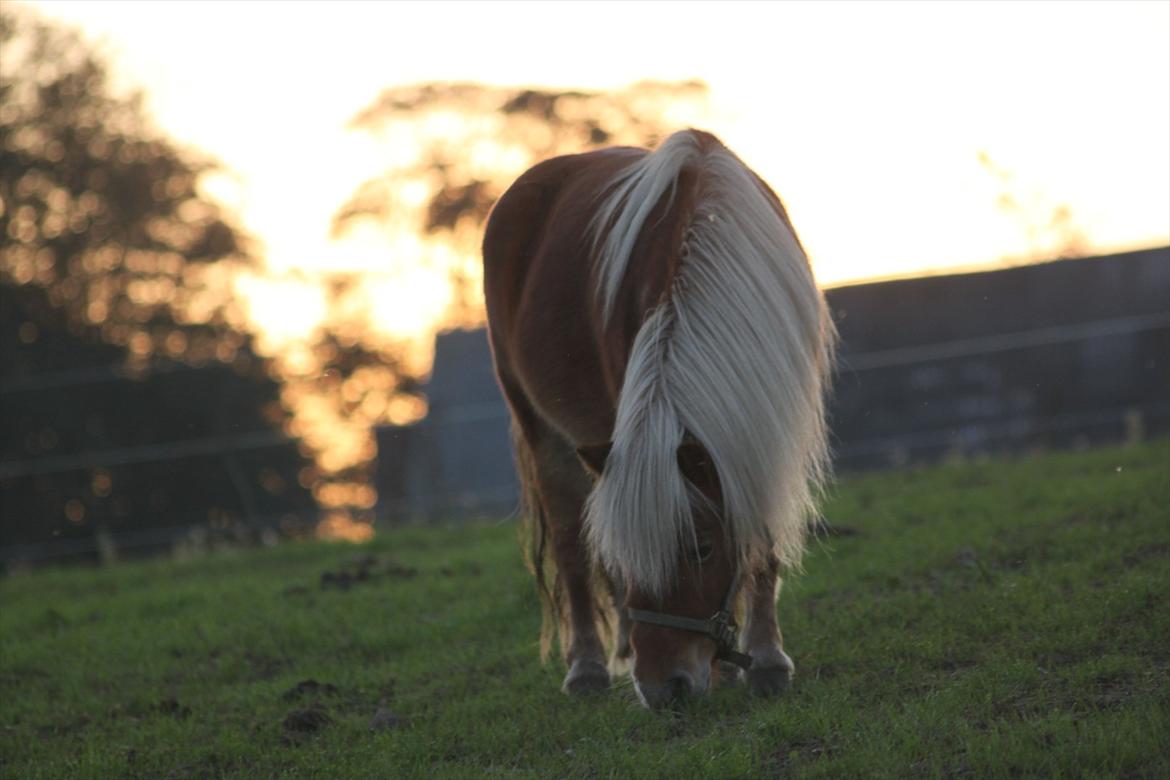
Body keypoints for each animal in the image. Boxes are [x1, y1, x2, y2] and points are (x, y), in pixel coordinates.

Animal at [479, 128, 837, 706]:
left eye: (701, 548)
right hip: (543, 428)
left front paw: (764, 661)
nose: (663, 688)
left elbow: (760, 539)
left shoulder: (766, 430)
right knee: (573, 544)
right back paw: (590, 669)